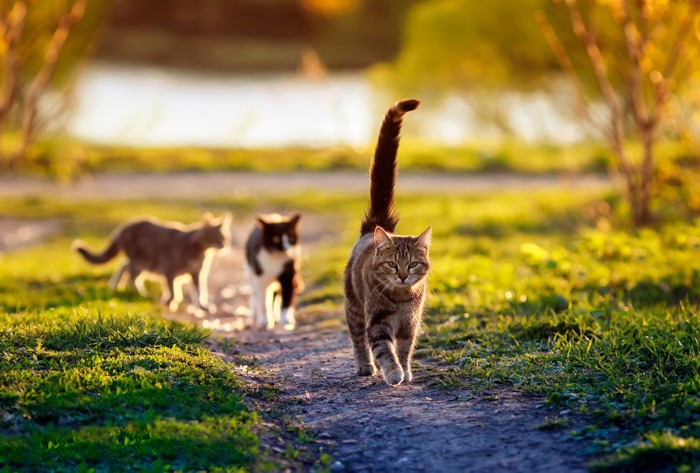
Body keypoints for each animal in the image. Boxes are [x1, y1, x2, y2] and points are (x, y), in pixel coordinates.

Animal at [74, 213, 232, 310]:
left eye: (226, 238)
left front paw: (202, 305)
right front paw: (170, 301)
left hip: (142, 262)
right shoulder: (169, 270)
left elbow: (199, 291)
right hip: (141, 261)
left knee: (124, 266)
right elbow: (172, 290)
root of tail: (124, 226)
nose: (224, 245)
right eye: (217, 237)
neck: (200, 251)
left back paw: (116, 285)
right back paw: (140, 292)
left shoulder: (197, 274)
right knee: (131, 275)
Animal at [342, 98, 430, 384]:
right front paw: (394, 372)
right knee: (359, 339)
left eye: (412, 264)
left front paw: (406, 370)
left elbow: (403, 350)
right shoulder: (378, 323)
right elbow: (384, 349)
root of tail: (374, 226)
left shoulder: (410, 324)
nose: (402, 276)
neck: (402, 299)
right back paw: (366, 365)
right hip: (355, 308)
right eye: (392, 264)